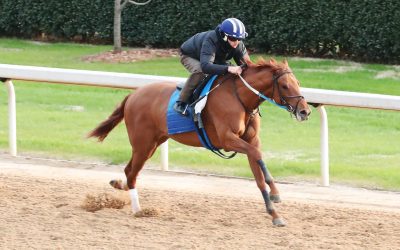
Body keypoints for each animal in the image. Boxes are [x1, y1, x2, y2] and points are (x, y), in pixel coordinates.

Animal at [88, 58, 312, 227]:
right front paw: (276, 194)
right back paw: (138, 209)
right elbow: (258, 156)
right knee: (132, 172)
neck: (241, 99)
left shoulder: (251, 141)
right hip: (143, 144)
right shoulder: (227, 139)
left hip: (154, 142)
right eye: (284, 85)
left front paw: (274, 214)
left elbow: (258, 175)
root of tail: (133, 94)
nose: (305, 111)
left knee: (129, 170)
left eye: (298, 82)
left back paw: (119, 185)